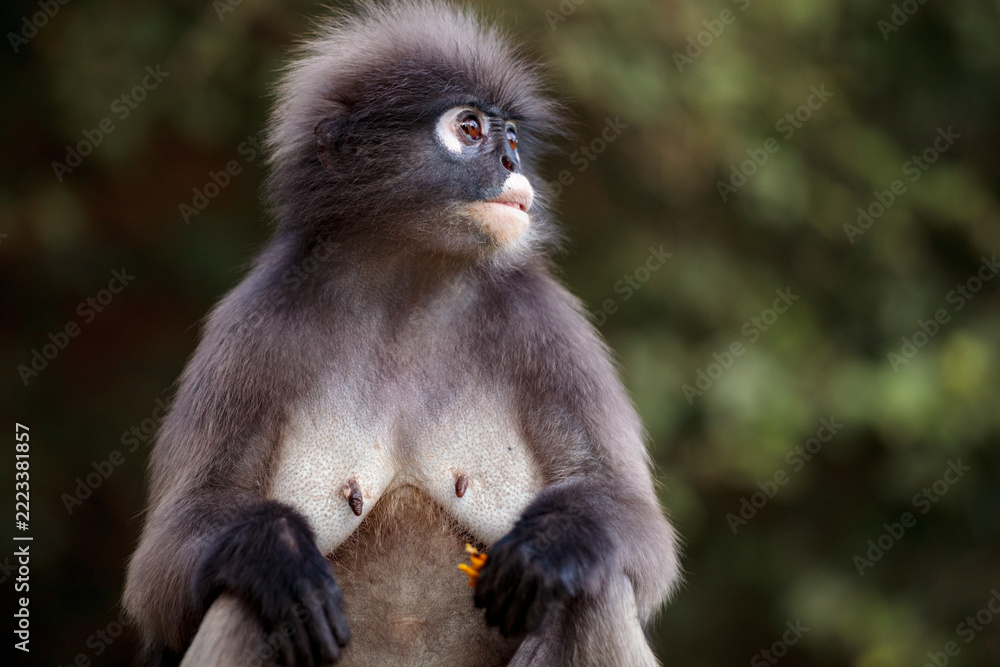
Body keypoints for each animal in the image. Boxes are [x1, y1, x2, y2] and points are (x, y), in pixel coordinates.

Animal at [122, 1, 681, 665]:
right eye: (470, 129)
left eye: (512, 138)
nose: (512, 164)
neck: (407, 289)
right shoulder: (251, 326)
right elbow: (160, 571)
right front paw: (275, 555)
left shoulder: (548, 325)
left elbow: (640, 530)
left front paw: (551, 545)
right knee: (245, 601)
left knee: (594, 587)